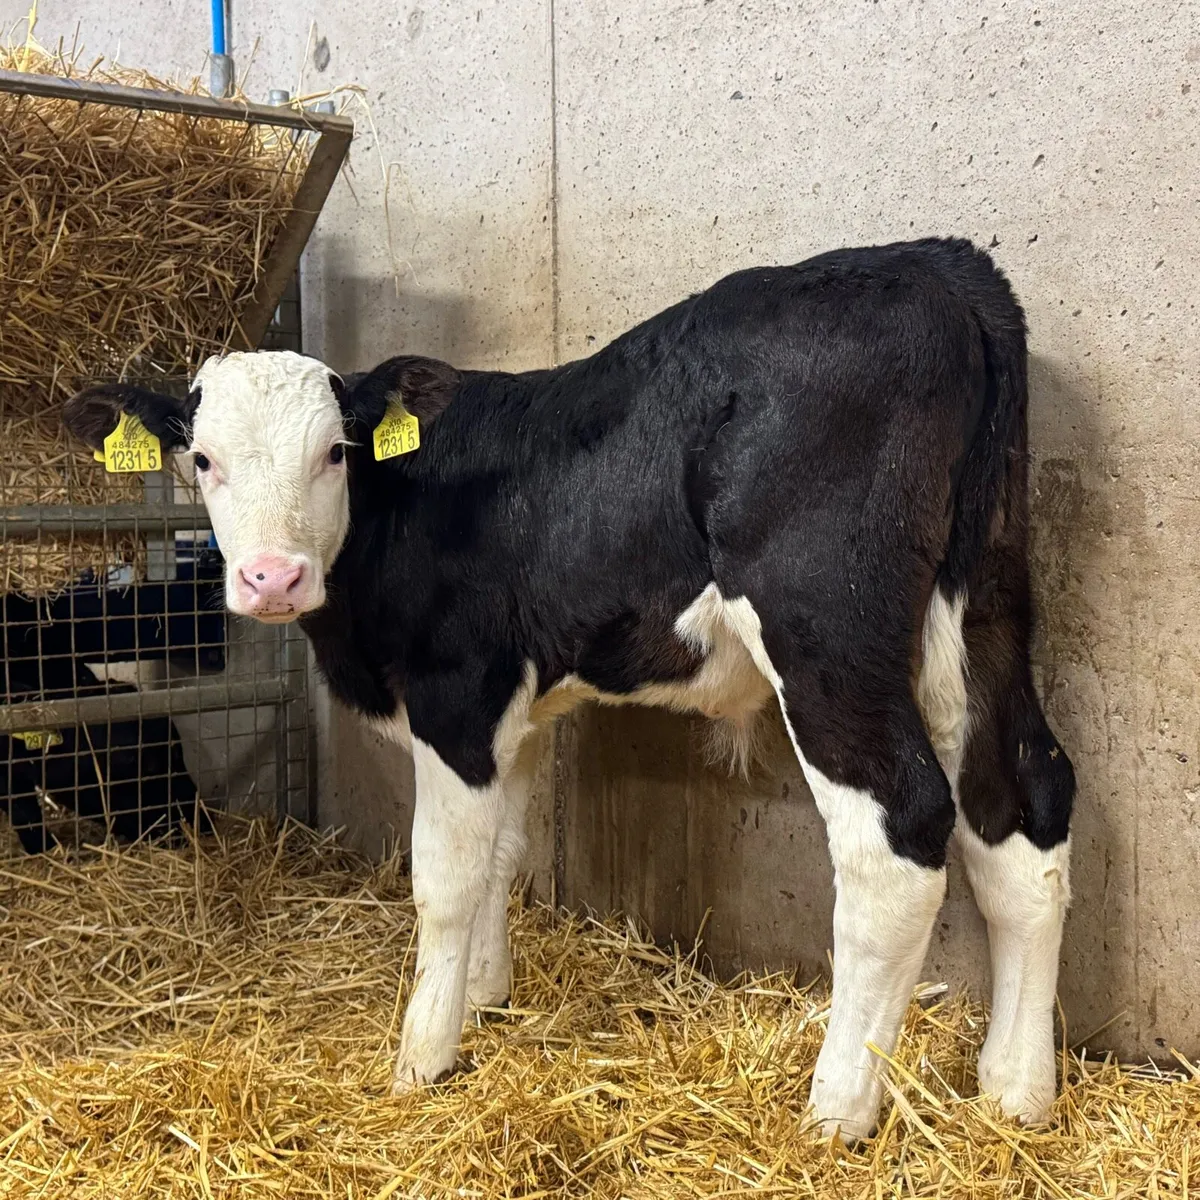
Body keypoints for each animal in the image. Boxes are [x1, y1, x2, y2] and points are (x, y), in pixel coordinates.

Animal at [64, 237, 1075, 1141]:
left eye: (336, 453)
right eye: (202, 460)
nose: (272, 578)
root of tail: (936, 263)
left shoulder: (456, 695)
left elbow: (445, 877)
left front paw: (424, 1056)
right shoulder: (515, 713)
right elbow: (504, 851)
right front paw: (484, 997)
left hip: (825, 619)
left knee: (898, 831)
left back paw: (838, 1109)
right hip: (983, 603)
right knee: (1022, 801)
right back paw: (1015, 1091)